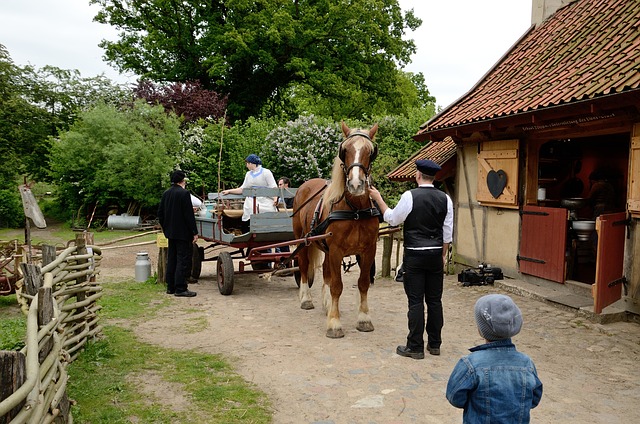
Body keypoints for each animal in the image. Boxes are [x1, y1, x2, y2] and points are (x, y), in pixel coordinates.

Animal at [292, 121, 380, 338]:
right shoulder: (337, 250)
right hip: (303, 240)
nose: (356, 184)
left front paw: (364, 319)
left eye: (370, 151)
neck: (355, 210)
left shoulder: (368, 250)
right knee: (304, 267)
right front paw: (334, 323)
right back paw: (306, 299)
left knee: (325, 272)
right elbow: (337, 286)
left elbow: (362, 283)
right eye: (345, 150)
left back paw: (326, 304)